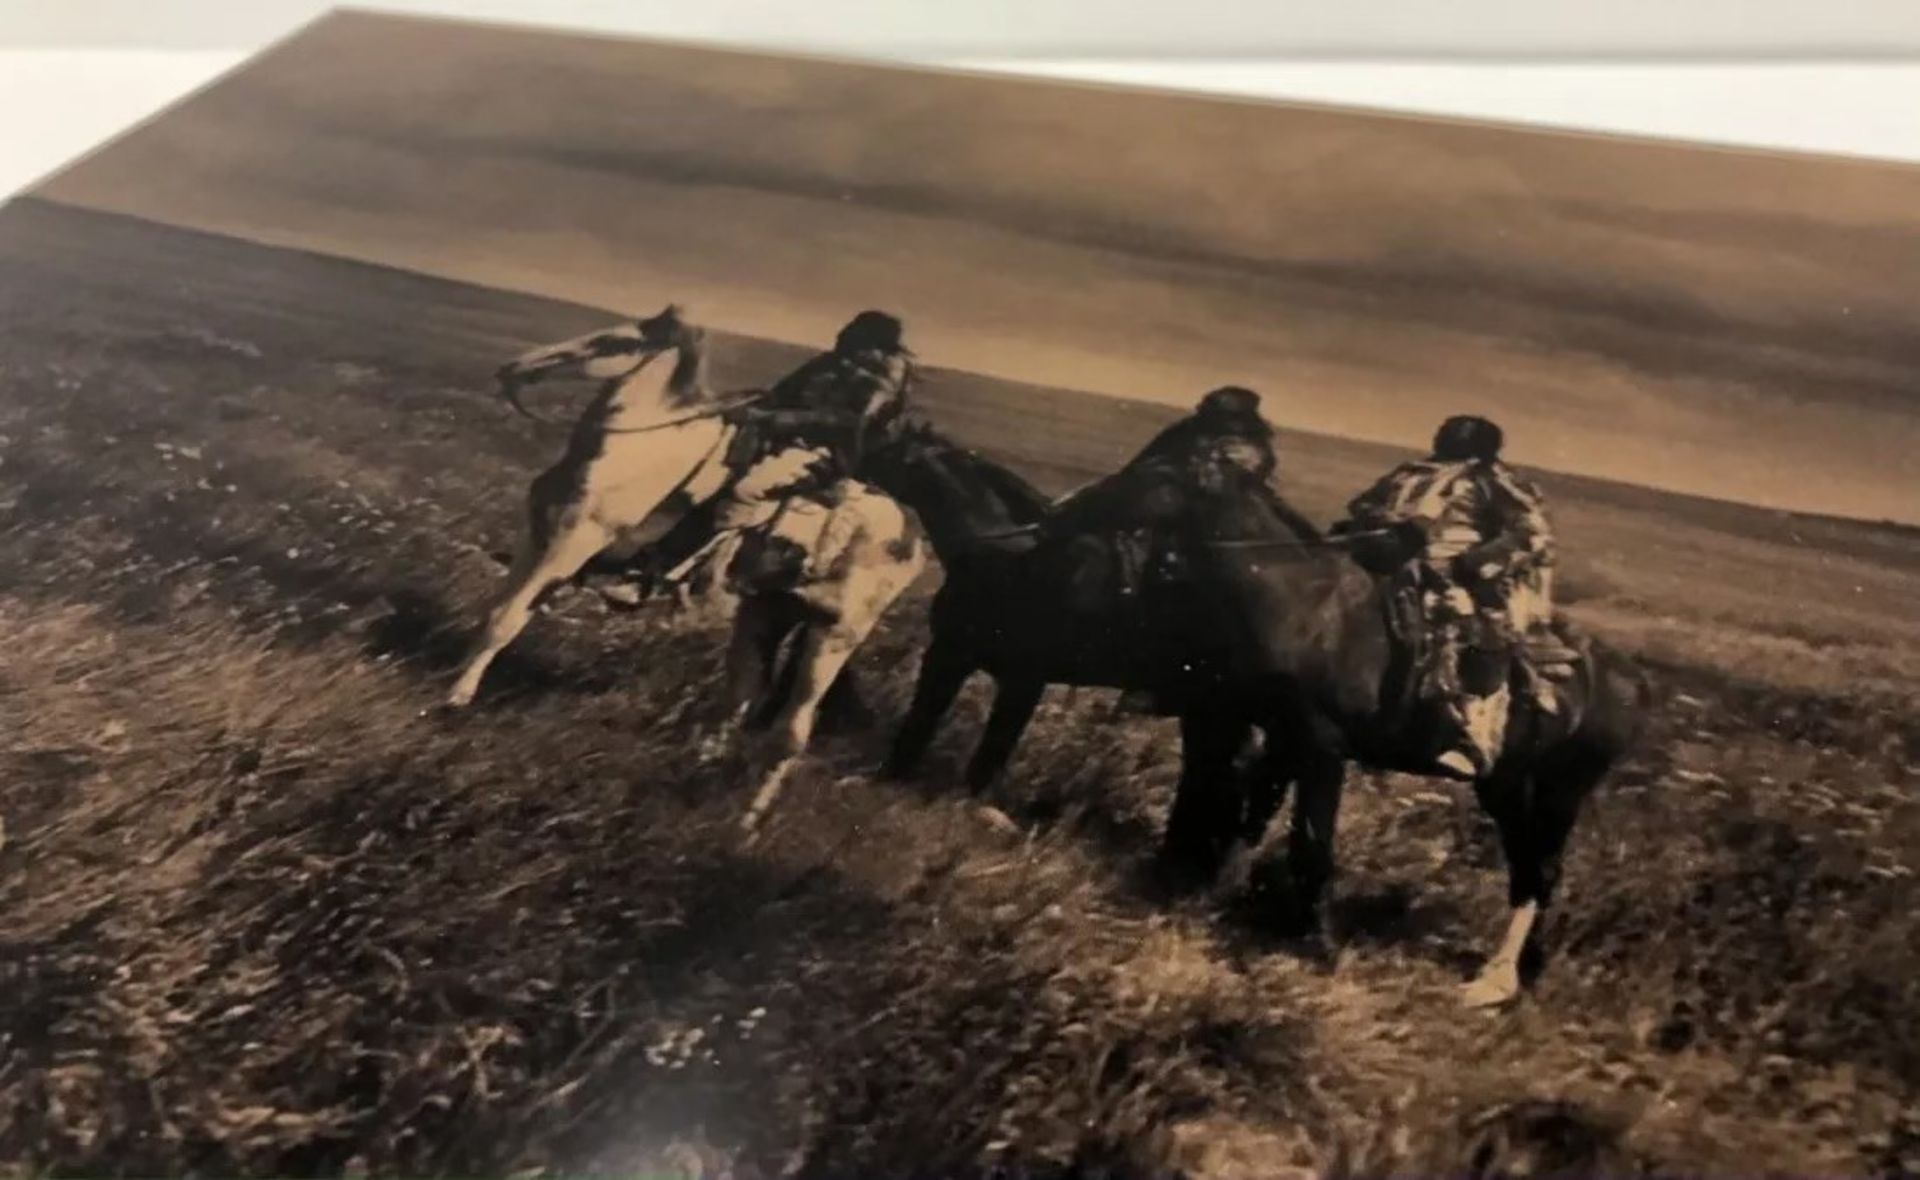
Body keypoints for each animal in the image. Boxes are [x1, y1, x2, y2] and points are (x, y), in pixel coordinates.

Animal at [445, 306, 737, 709]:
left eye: (614, 343)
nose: (512, 368)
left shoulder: (567, 552)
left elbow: (507, 621)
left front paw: (458, 695)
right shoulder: (536, 539)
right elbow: (497, 610)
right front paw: (460, 671)